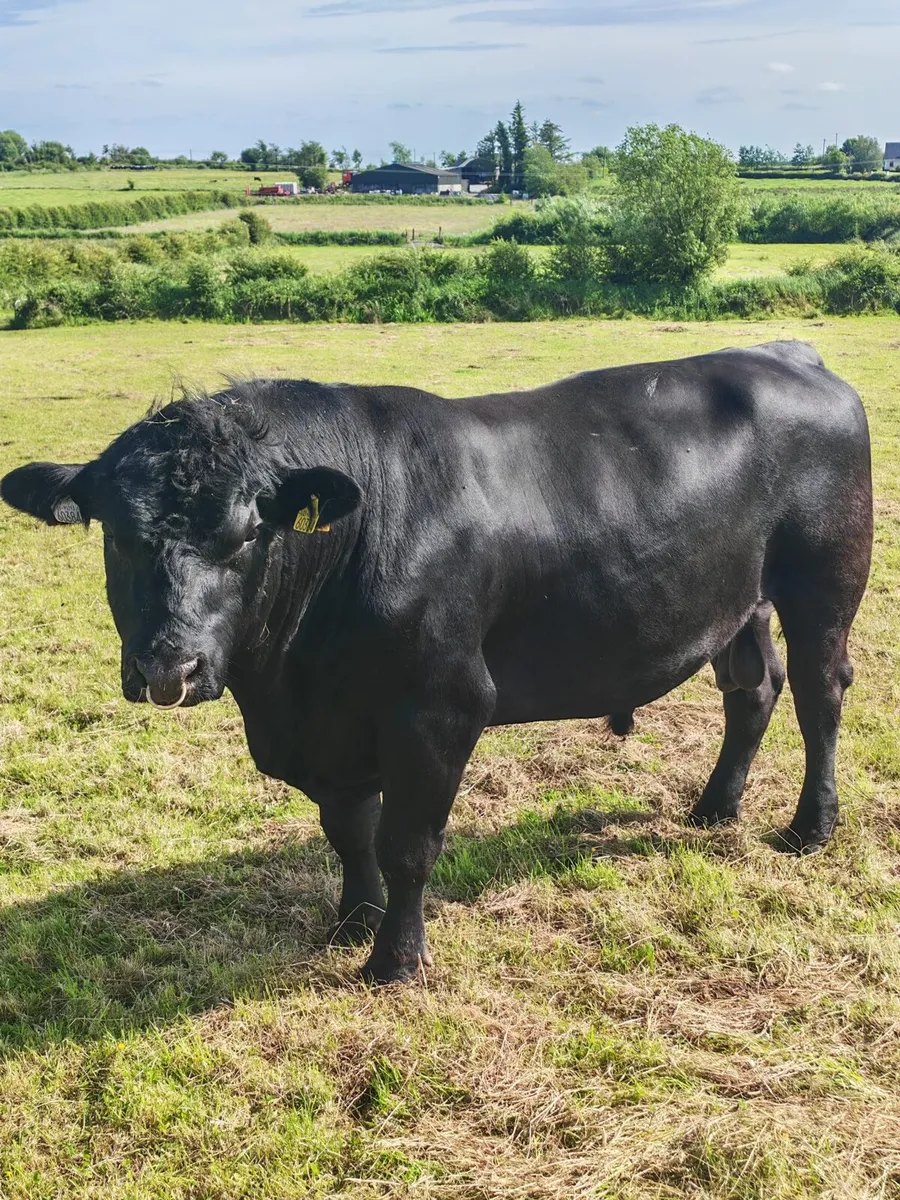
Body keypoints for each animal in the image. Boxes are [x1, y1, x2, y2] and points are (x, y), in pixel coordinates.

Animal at [1, 342, 873, 984]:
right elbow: (349, 831)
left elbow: (407, 843)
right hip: (739, 601)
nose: (168, 668)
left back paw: (809, 826)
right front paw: (353, 919)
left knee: (819, 697)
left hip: (823, 584)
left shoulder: (440, 708)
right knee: (753, 689)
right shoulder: (334, 724)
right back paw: (714, 807)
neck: (289, 681)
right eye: (117, 534)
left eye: (247, 534)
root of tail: (787, 353)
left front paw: (394, 960)